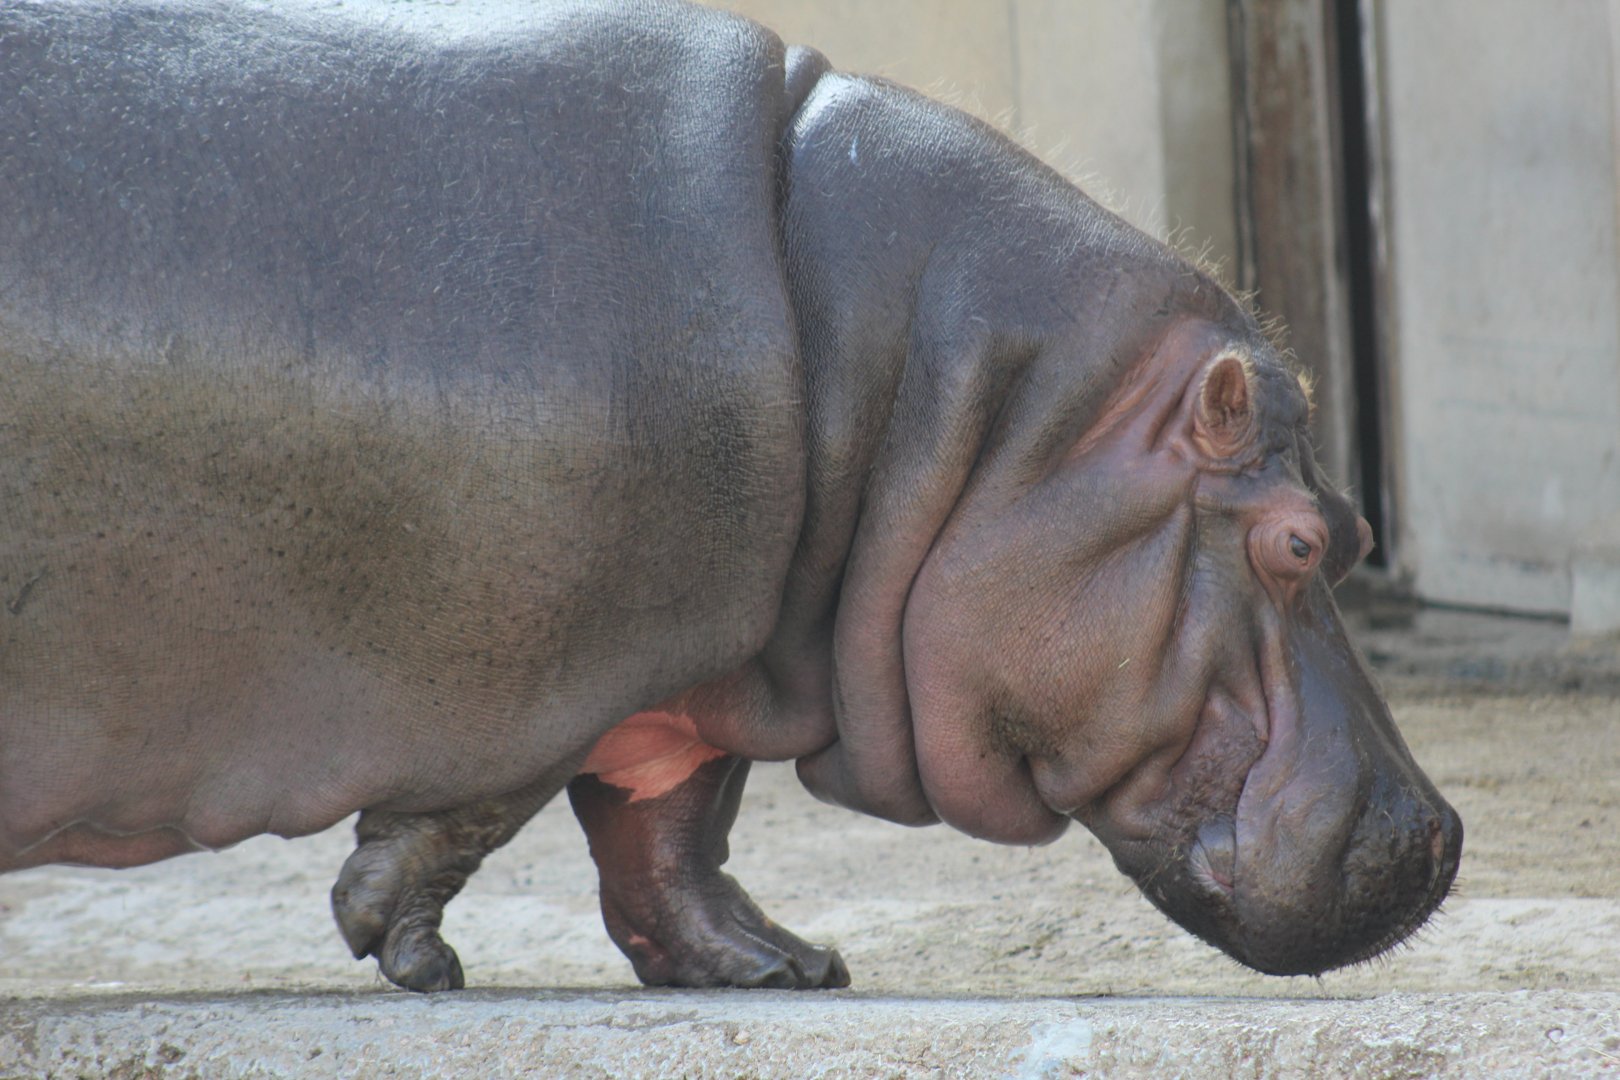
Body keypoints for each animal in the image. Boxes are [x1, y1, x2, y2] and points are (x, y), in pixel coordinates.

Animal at [0, 0, 1460, 991]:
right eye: (1294, 542)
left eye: (1360, 533)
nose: (1442, 837)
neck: (952, 408)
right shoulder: (554, 667)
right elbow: (489, 805)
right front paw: (402, 951)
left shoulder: (710, 639)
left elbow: (671, 816)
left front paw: (785, 966)